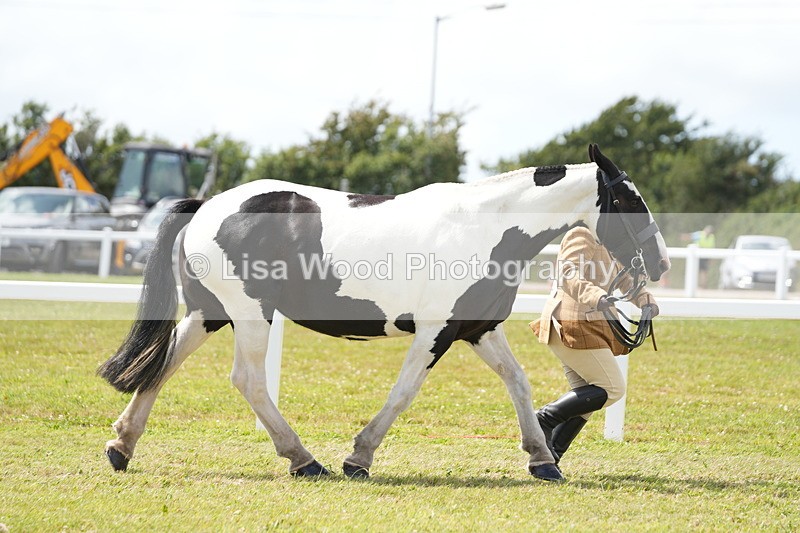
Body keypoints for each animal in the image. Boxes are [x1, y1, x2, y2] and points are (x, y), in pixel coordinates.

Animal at [99, 144, 670, 482]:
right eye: (630, 201)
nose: (661, 262)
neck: (486, 226)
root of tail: (207, 206)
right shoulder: (435, 332)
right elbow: (403, 392)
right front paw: (359, 458)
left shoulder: (478, 329)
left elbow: (519, 383)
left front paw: (543, 459)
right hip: (249, 314)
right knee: (248, 381)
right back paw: (305, 461)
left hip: (210, 313)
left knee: (163, 363)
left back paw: (121, 447)